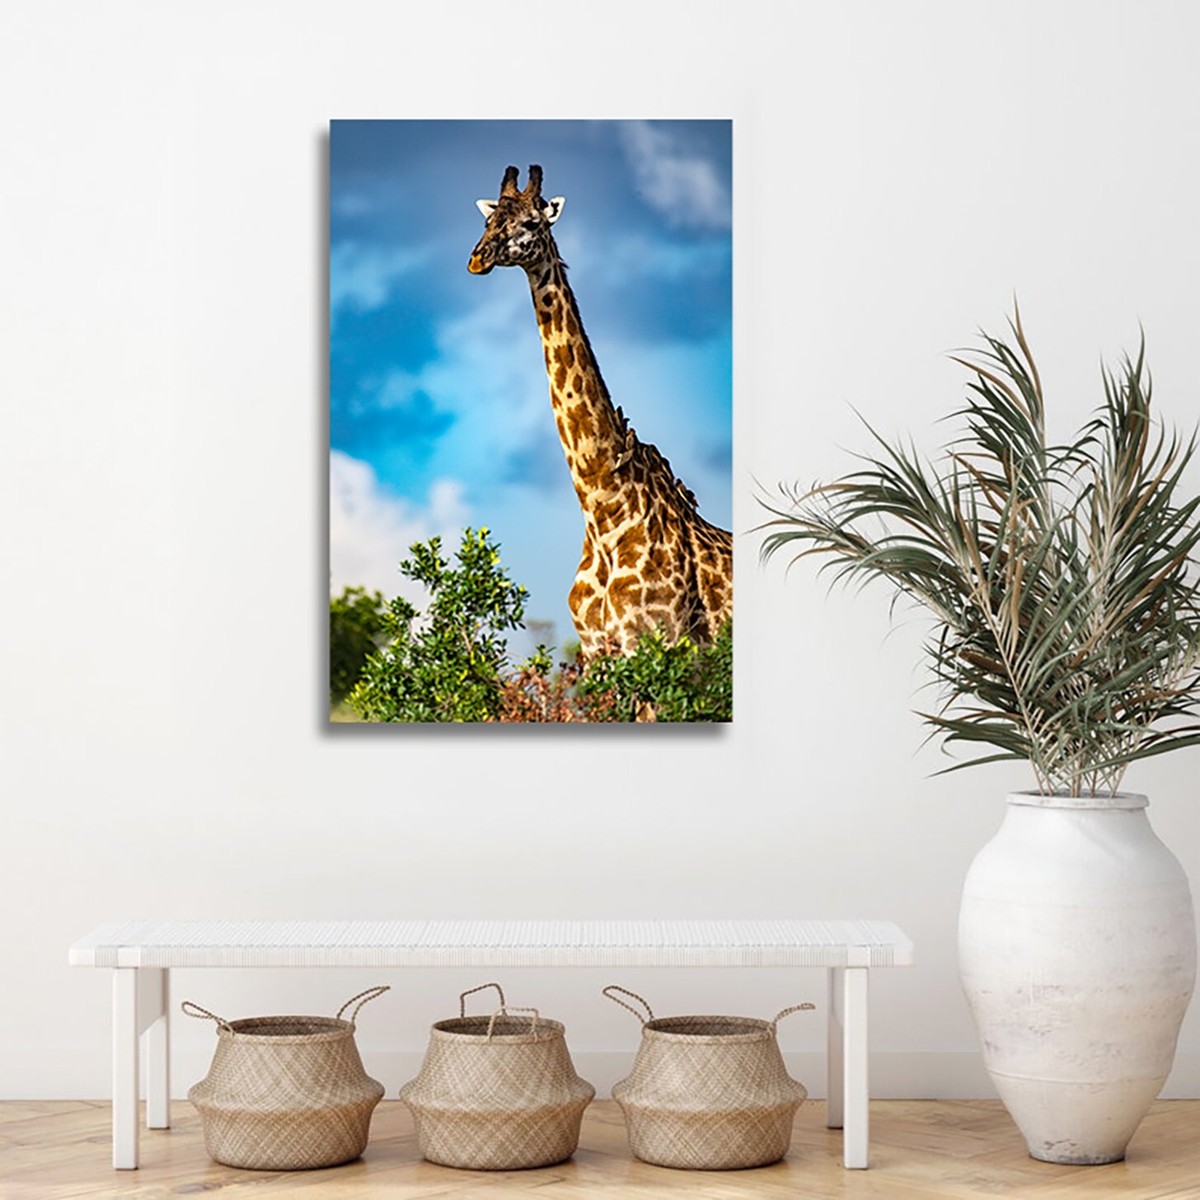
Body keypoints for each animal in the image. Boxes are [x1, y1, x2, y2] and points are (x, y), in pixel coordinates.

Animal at [468, 164, 732, 659]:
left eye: (531, 222)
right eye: (489, 221)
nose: (478, 258)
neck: (604, 509)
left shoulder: (658, 643)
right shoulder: (595, 652)